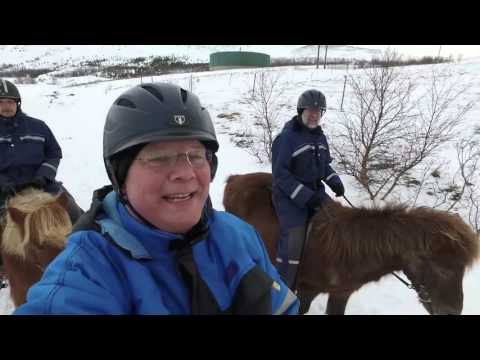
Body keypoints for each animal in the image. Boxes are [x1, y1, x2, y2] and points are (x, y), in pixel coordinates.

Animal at [224, 173, 480, 314]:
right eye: (442, 268)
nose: (452, 312)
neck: (351, 249)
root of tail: (235, 180)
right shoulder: (308, 289)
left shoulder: (340, 293)